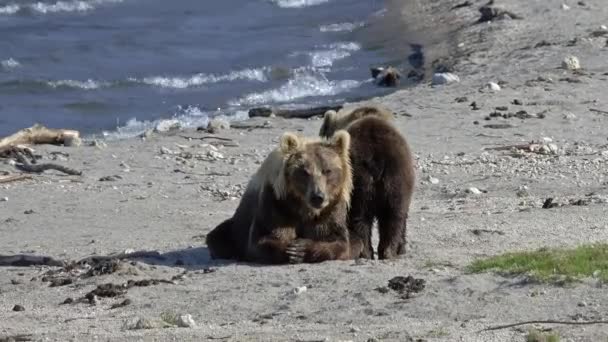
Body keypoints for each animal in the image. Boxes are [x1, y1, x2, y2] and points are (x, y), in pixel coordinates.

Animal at [207, 130, 354, 264]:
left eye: (327, 170)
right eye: (304, 172)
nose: (317, 196)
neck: (303, 208)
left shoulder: (330, 210)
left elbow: (337, 241)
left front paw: (302, 248)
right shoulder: (276, 204)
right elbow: (264, 238)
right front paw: (292, 250)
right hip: (236, 226)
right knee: (218, 237)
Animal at [318, 104, 414, 260]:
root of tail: (376, 157)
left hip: (365, 179)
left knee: (362, 216)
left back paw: (369, 251)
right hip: (394, 177)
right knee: (392, 215)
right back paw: (385, 250)